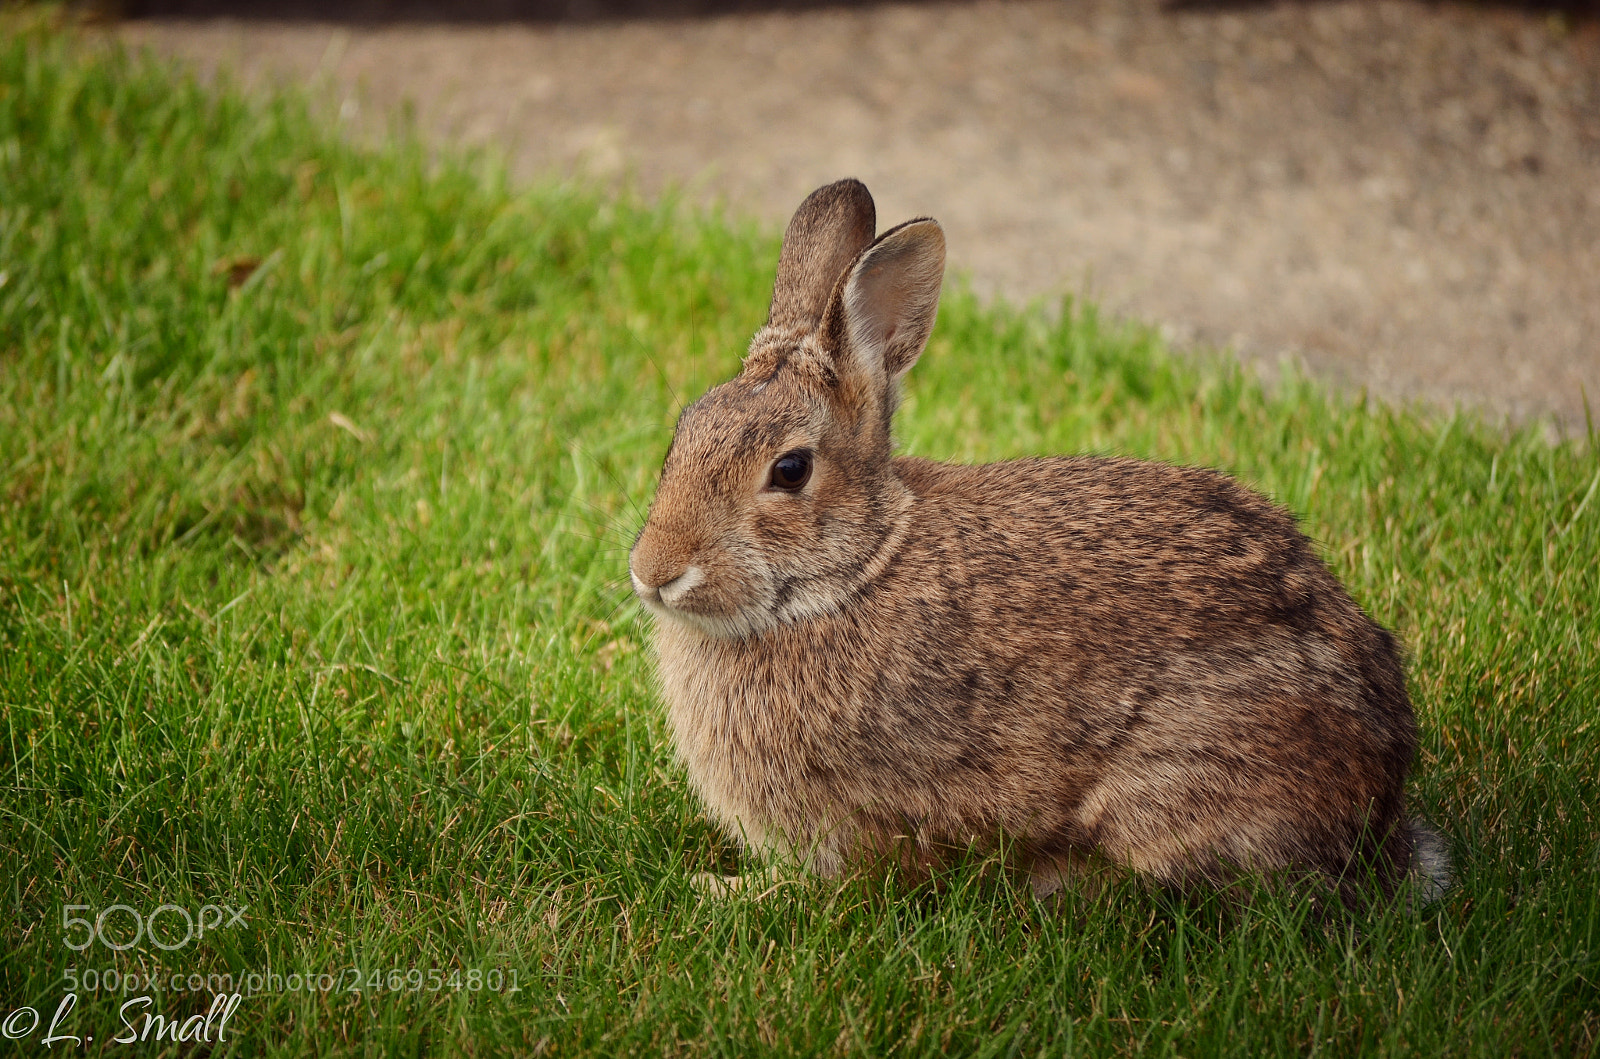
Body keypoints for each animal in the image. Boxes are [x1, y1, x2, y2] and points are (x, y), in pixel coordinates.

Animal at [628, 178, 1450, 907]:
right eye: (686, 429)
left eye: (790, 470)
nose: (654, 573)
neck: (858, 568)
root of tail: (1381, 806)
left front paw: (724, 890)